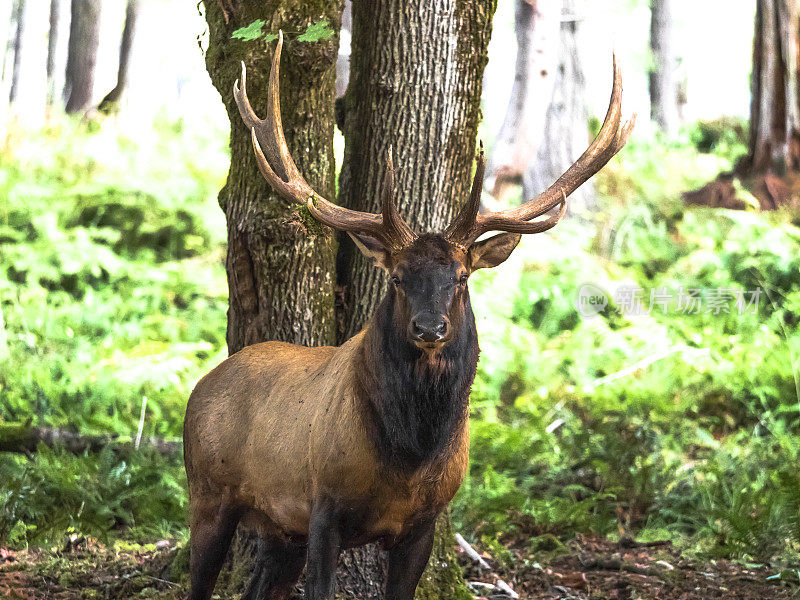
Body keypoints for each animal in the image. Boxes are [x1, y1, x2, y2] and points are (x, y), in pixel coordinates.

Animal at [183, 32, 632, 600]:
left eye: (461, 277)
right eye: (397, 277)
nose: (429, 328)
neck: (410, 456)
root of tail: (203, 384)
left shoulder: (423, 522)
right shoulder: (323, 506)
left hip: (277, 528)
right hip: (209, 494)